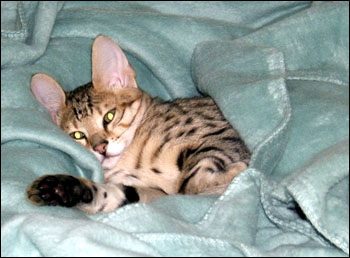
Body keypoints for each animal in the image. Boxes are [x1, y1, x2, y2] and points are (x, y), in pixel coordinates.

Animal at [28, 35, 252, 214]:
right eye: (77, 135)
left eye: (109, 116)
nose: (100, 148)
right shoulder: (154, 194)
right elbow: (113, 194)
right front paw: (59, 188)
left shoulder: (217, 131)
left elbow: (189, 182)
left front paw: (238, 172)